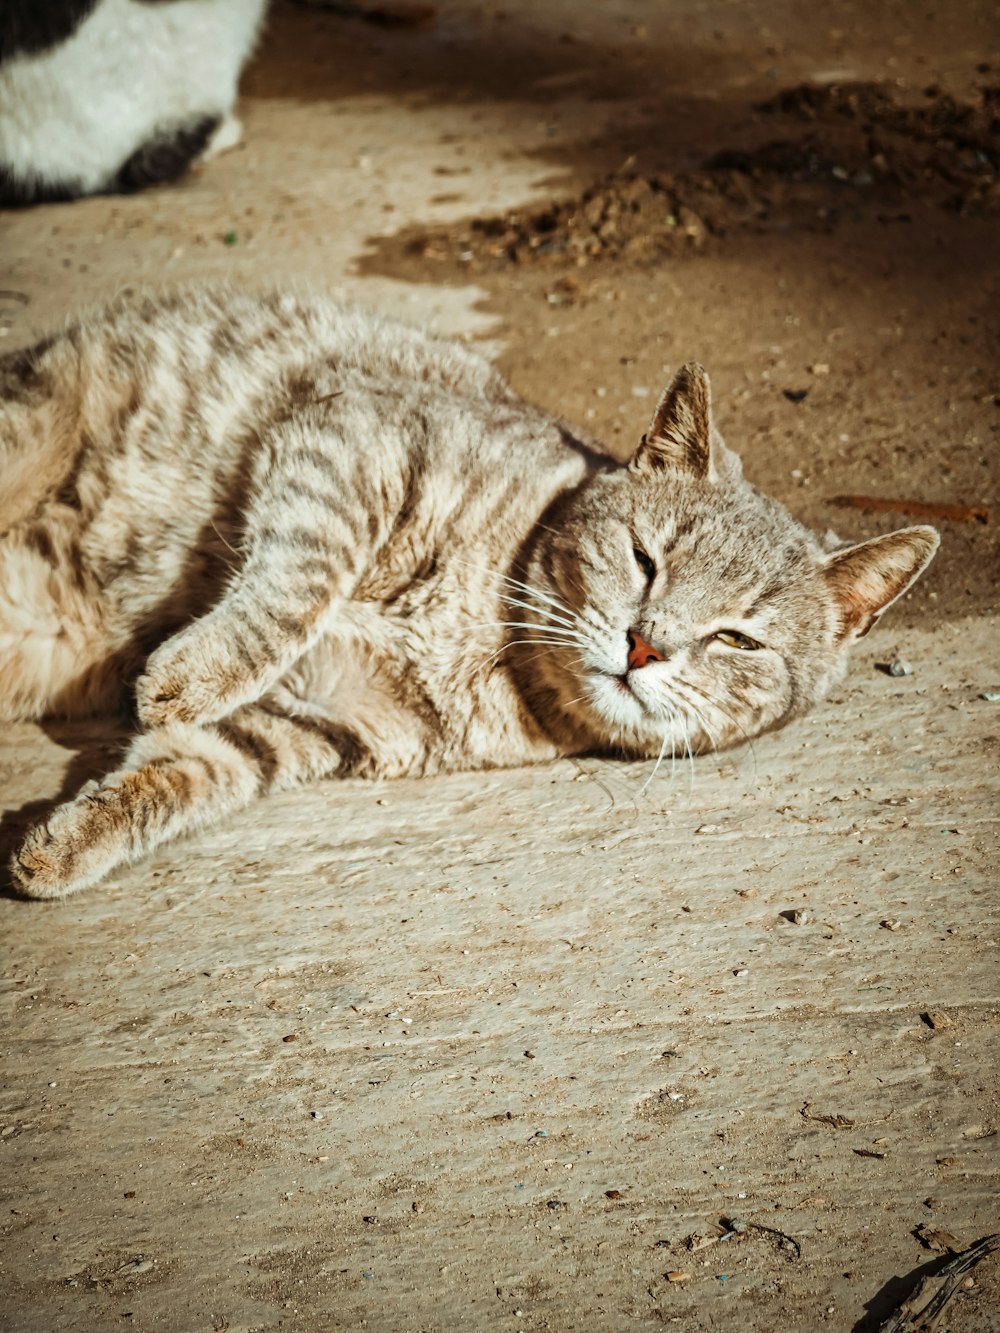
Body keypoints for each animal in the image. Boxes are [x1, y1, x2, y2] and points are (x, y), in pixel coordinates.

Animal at [0, 290, 938, 895]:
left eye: (738, 640)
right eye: (646, 560)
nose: (645, 645)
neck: (495, 651)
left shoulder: (312, 719)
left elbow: (182, 775)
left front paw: (64, 844)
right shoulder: (353, 437)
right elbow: (296, 584)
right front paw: (192, 670)